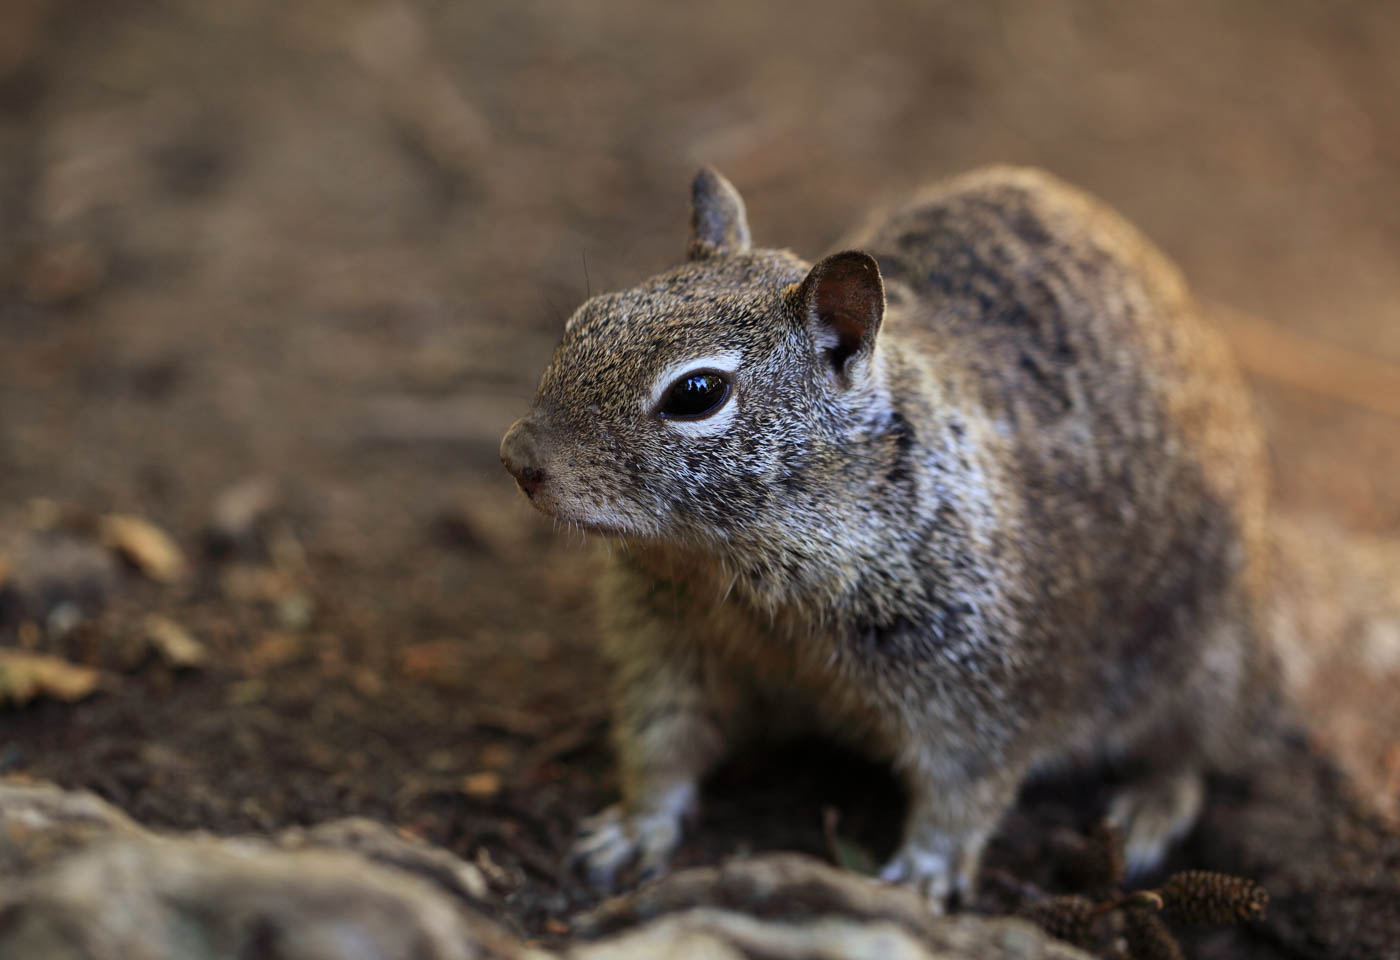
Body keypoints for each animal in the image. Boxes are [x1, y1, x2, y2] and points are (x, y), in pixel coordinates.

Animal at [500, 165, 1273, 910]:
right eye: (584, 320)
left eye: (697, 393)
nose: (517, 458)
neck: (740, 572)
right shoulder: (664, 642)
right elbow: (660, 740)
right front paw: (636, 827)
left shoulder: (982, 686)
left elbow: (964, 793)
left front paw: (923, 875)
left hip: (1201, 660)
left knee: (1194, 753)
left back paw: (1146, 809)